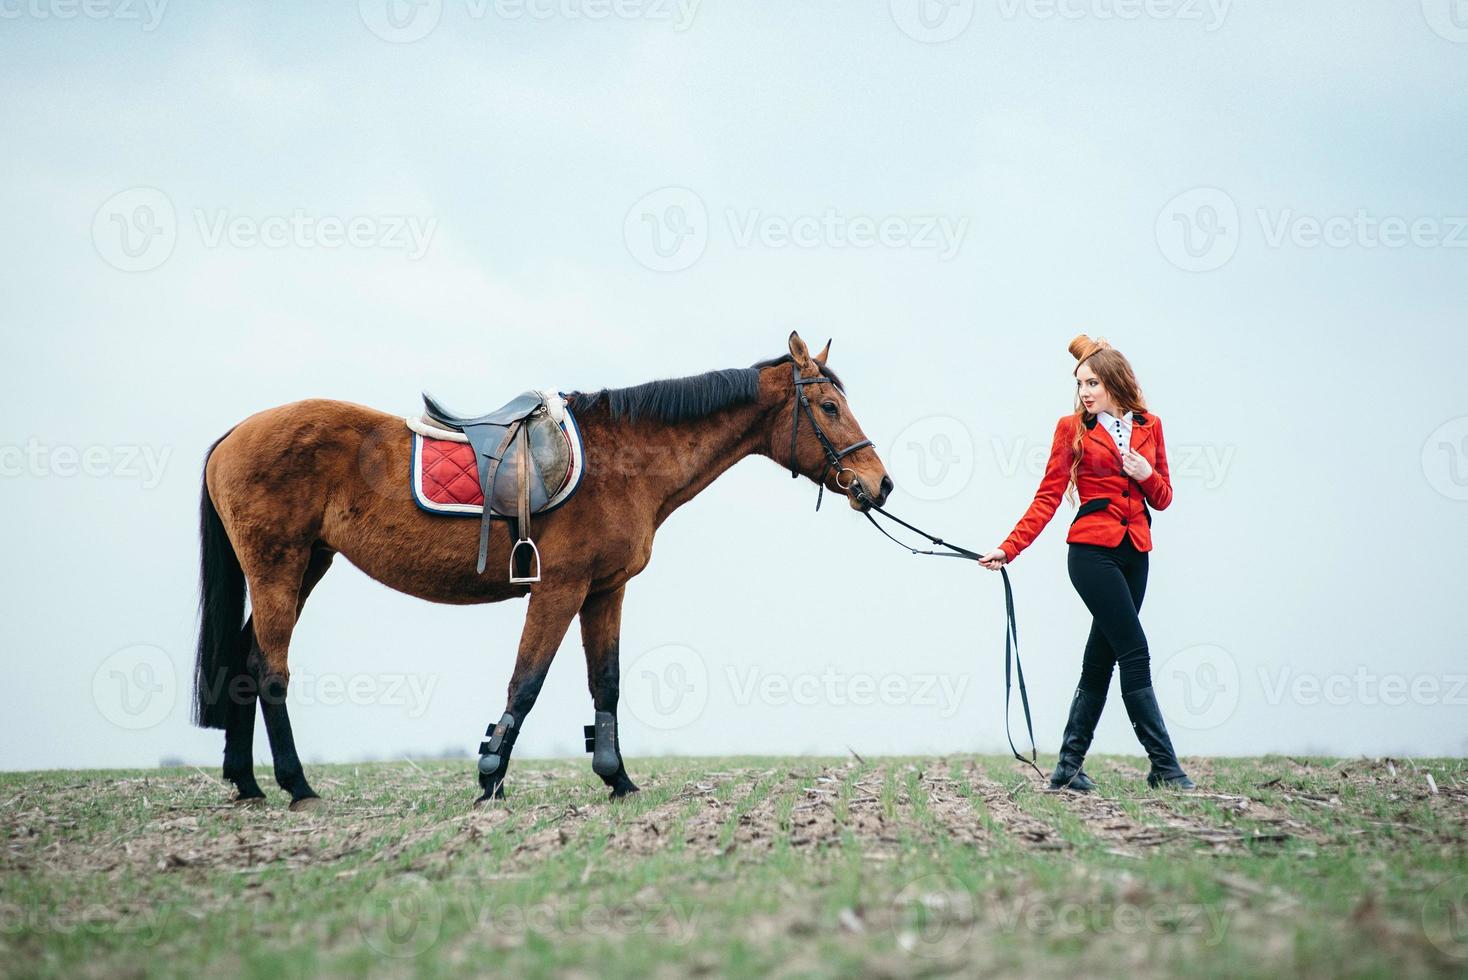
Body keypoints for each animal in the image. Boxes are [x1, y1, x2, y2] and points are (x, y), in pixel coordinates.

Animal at [195, 333, 892, 809]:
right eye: (829, 407)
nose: (879, 484)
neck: (621, 460)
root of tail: (234, 434)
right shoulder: (559, 588)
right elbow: (525, 684)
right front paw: (489, 778)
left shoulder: (605, 592)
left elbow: (605, 684)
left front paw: (618, 779)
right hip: (280, 565)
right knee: (272, 669)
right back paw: (297, 785)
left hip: (304, 564)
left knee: (246, 662)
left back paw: (249, 784)